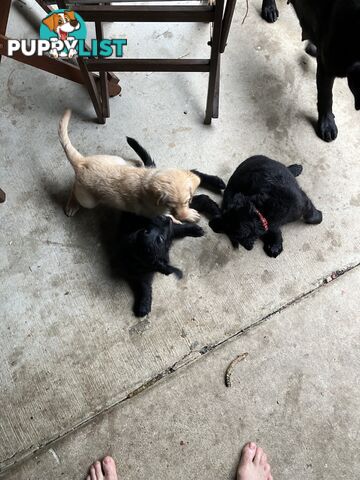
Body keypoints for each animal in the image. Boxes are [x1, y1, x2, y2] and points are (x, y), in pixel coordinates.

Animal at [57, 109, 201, 221]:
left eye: (187, 201)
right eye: (170, 206)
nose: (183, 215)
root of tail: (81, 161)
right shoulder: (153, 213)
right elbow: (171, 218)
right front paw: (187, 217)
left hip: (116, 159)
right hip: (87, 200)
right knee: (74, 190)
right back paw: (72, 205)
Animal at [191, 156, 324, 256]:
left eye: (230, 231)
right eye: (224, 215)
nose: (210, 224)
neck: (261, 210)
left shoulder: (301, 202)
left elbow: (310, 213)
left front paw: (318, 218)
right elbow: (273, 229)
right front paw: (275, 243)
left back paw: (296, 168)